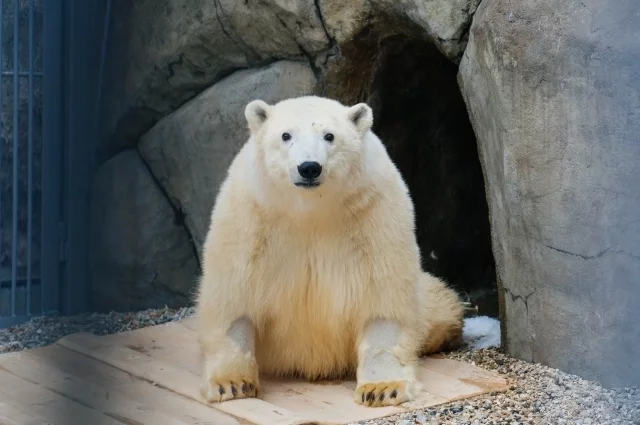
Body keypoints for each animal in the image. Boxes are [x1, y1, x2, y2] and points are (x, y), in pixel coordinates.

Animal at [195, 94, 464, 406]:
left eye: (329, 136)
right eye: (285, 135)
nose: (309, 167)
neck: (310, 210)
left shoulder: (373, 211)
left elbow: (383, 296)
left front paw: (382, 387)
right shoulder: (250, 214)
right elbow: (234, 296)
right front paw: (232, 384)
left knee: (439, 306)